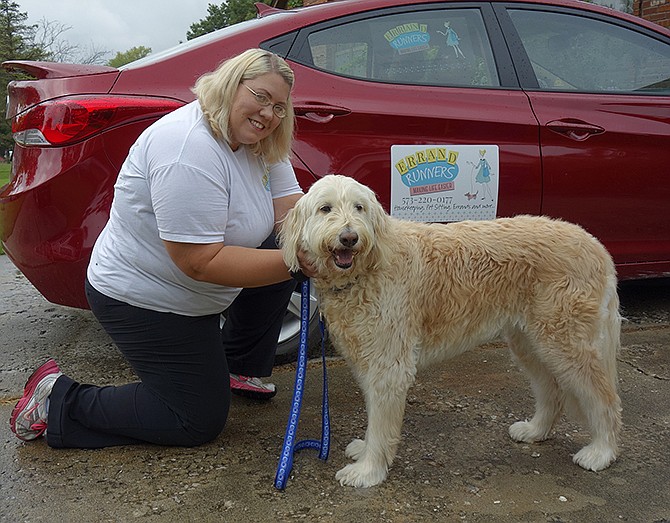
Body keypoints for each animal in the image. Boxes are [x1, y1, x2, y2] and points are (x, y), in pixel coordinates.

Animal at [276, 175, 620, 488]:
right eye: (325, 208)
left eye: (359, 207)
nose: (349, 237)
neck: (369, 266)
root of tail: (596, 246)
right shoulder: (369, 358)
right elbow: (374, 416)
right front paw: (365, 452)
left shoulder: (389, 365)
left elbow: (381, 423)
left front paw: (368, 470)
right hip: (531, 342)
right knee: (552, 390)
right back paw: (536, 430)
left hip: (567, 342)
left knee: (604, 398)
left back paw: (602, 451)